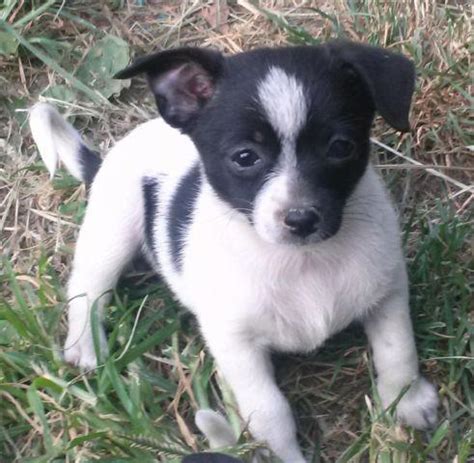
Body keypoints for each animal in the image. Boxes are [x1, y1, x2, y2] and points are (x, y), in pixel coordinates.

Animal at [29, 41, 438, 462]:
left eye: (341, 147)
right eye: (245, 157)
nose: (301, 219)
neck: (302, 262)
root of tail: (105, 159)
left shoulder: (386, 293)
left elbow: (397, 351)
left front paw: (408, 400)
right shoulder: (236, 345)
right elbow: (271, 413)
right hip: (112, 231)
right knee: (89, 287)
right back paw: (84, 344)